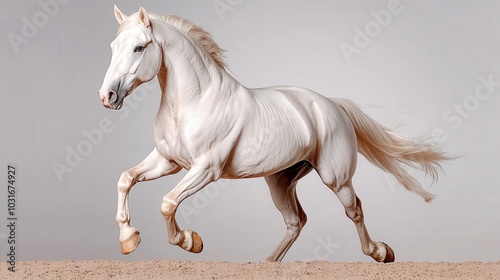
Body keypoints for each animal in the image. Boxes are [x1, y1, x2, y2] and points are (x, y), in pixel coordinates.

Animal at [97, 4, 450, 262]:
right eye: (113, 46)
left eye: (139, 47)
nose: (107, 96)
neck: (195, 101)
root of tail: (332, 105)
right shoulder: (167, 161)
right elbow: (125, 179)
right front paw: (129, 240)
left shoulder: (205, 169)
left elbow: (168, 203)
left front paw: (189, 241)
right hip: (280, 181)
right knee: (296, 221)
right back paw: (269, 262)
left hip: (336, 178)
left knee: (355, 210)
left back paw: (380, 252)